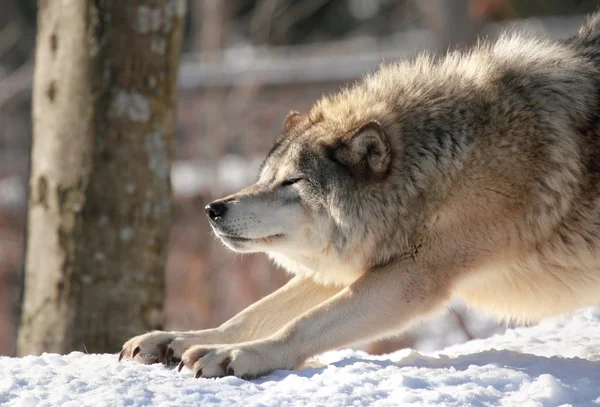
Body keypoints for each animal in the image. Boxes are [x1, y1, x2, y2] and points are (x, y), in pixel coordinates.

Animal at [119, 12, 600, 380]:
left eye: (292, 182)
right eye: (265, 178)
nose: (212, 209)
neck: (446, 165)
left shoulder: (412, 275)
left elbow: (303, 324)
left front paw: (237, 356)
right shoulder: (354, 263)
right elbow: (250, 314)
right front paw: (176, 340)